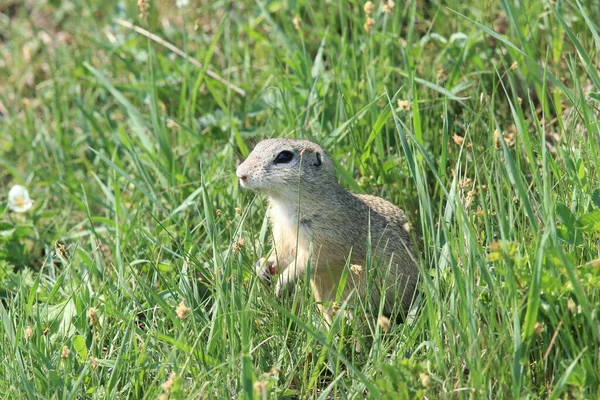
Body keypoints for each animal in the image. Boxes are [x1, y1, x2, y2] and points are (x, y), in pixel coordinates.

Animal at [237, 139, 420, 324]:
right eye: (258, 146)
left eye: (284, 156)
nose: (240, 174)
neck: (286, 207)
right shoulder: (283, 234)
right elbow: (282, 254)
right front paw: (263, 266)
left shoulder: (327, 238)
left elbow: (311, 261)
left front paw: (283, 281)